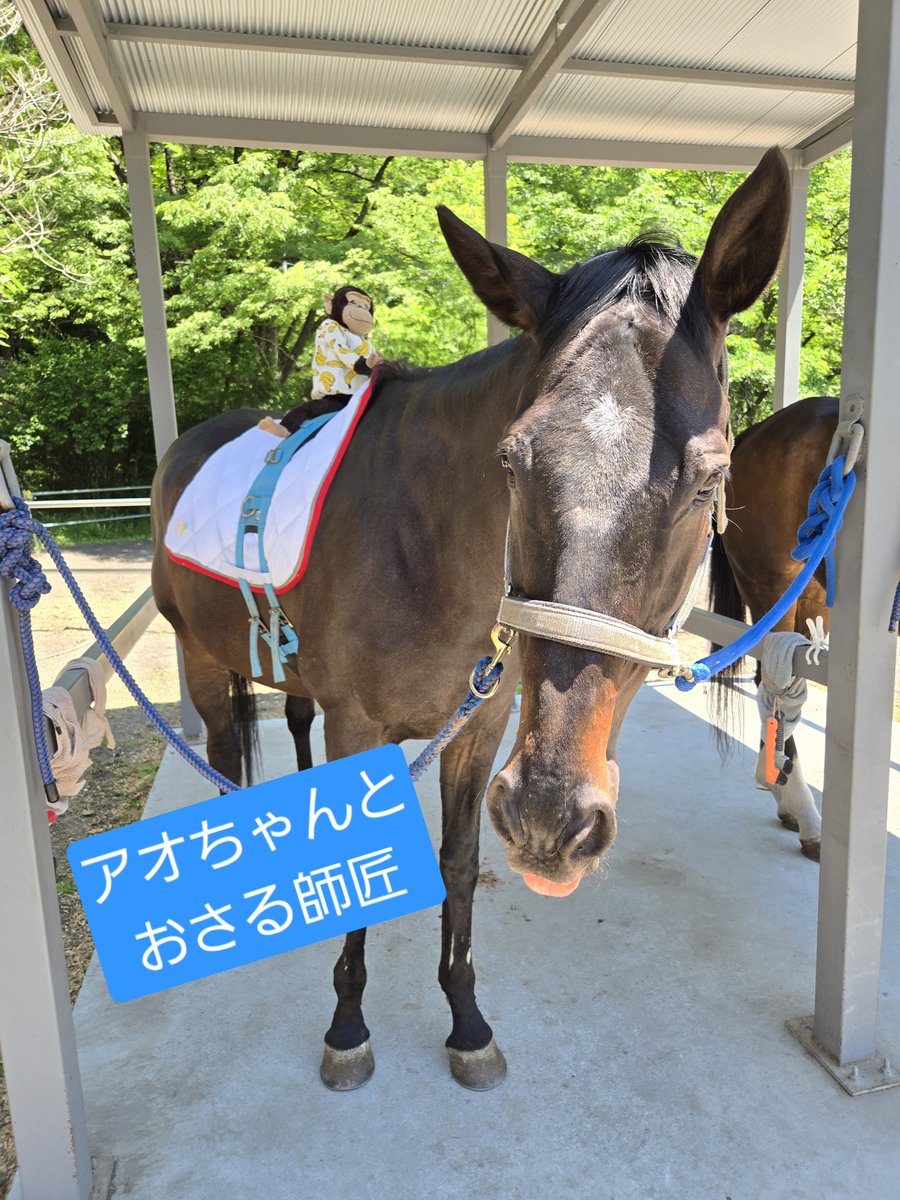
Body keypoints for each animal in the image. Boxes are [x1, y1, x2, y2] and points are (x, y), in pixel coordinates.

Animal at [151, 146, 790, 1092]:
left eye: (711, 479)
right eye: (511, 462)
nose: (553, 816)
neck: (424, 549)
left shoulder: (481, 727)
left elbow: (458, 864)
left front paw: (465, 1019)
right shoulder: (359, 726)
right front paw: (348, 1024)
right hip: (197, 654)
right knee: (226, 753)